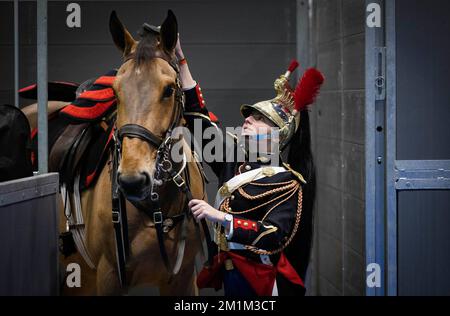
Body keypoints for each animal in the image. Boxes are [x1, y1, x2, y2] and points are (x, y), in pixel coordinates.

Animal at [19, 10, 206, 296]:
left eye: (168, 90)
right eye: (116, 92)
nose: (133, 181)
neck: (158, 208)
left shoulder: (182, 279)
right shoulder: (108, 277)